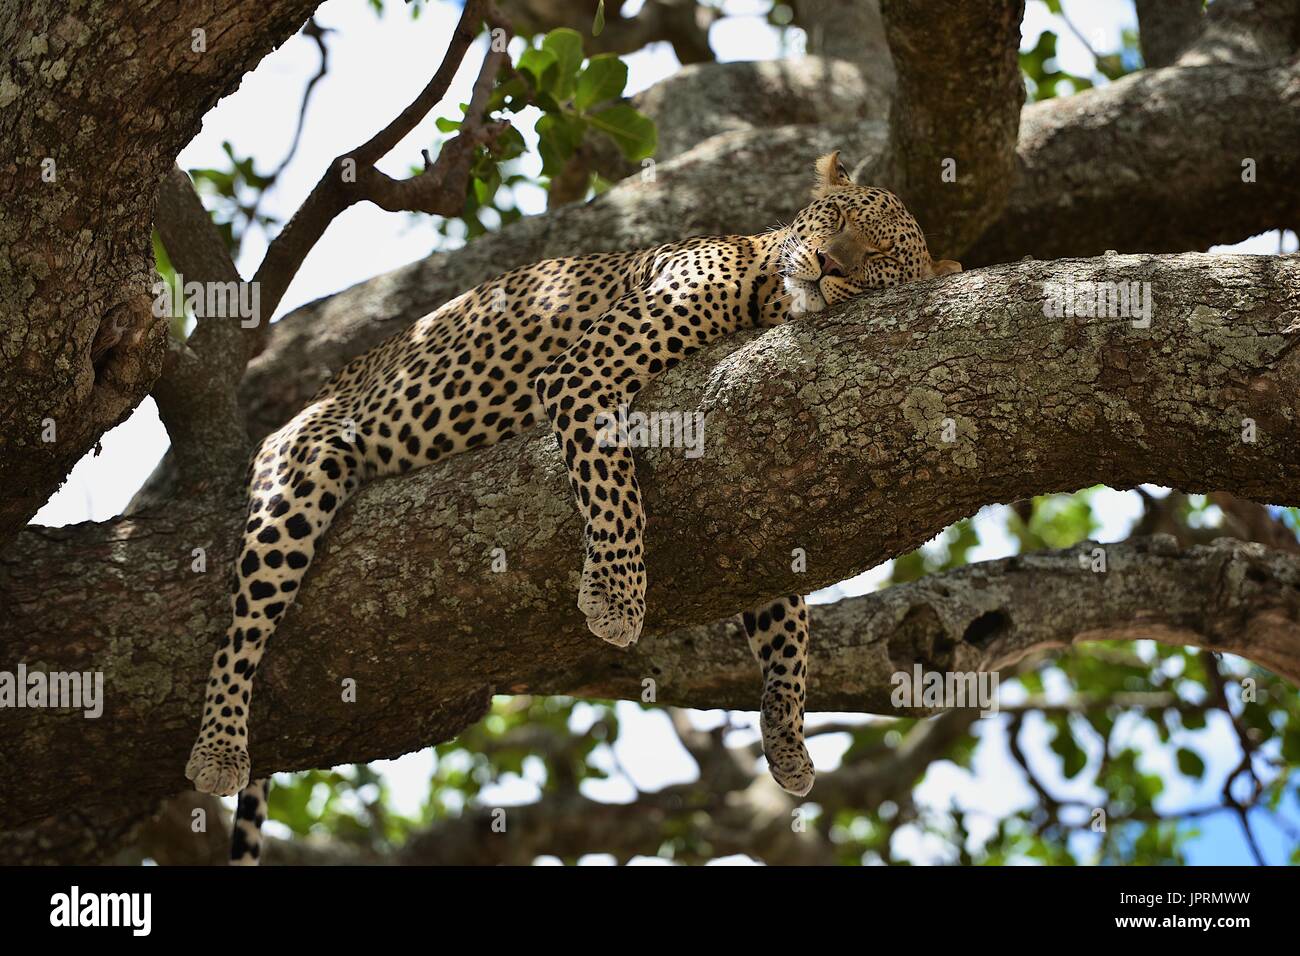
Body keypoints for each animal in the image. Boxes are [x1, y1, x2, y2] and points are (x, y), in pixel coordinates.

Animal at [183, 153, 961, 863]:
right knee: (244, 622)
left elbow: (786, 619)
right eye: (840, 219)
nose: (826, 262)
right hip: (303, 466)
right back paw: (218, 747)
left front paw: (788, 735)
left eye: (880, 255)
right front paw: (616, 596)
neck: (767, 292)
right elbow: (615, 490)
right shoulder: (584, 374)